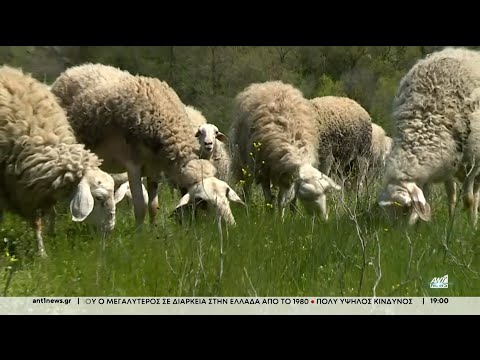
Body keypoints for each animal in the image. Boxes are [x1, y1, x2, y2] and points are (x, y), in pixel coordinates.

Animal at [51, 64, 244, 228]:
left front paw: (153, 231)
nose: (231, 226)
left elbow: (153, 206)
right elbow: (140, 206)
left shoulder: (154, 168)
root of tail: (72, 70)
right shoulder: (133, 166)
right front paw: (139, 235)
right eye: (203, 201)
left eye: (226, 194)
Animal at [230, 80, 340, 218]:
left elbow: (283, 201)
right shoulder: (263, 170)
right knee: (247, 185)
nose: (323, 219)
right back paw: (246, 208)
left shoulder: (286, 176)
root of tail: (270, 83)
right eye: (307, 197)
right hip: (244, 159)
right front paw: (271, 217)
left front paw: (284, 218)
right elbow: (269, 199)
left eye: (324, 193)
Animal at [376, 46, 480, 224]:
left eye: (406, 208)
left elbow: (469, 199)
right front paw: (448, 222)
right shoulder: (449, 160)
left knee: (476, 193)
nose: (396, 232)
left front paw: (471, 225)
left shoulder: (472, 161)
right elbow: (449, 195)